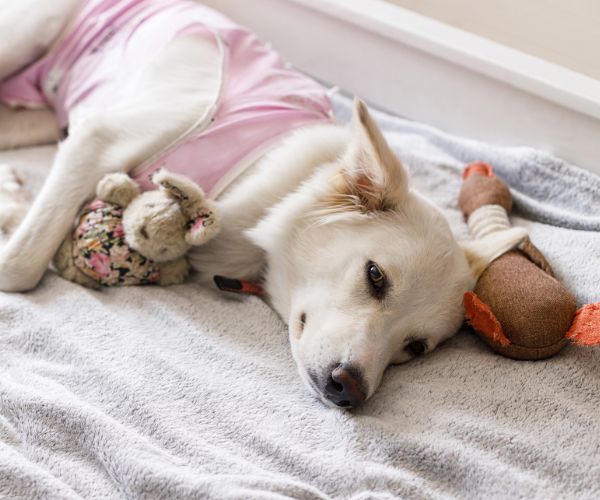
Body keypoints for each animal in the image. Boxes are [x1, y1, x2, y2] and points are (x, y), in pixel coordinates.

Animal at [0, 0, 524, 406]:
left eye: (416, 348)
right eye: (376, 277)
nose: (349, 391)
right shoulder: (99, 139)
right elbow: (19, 267)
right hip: (26, 39)